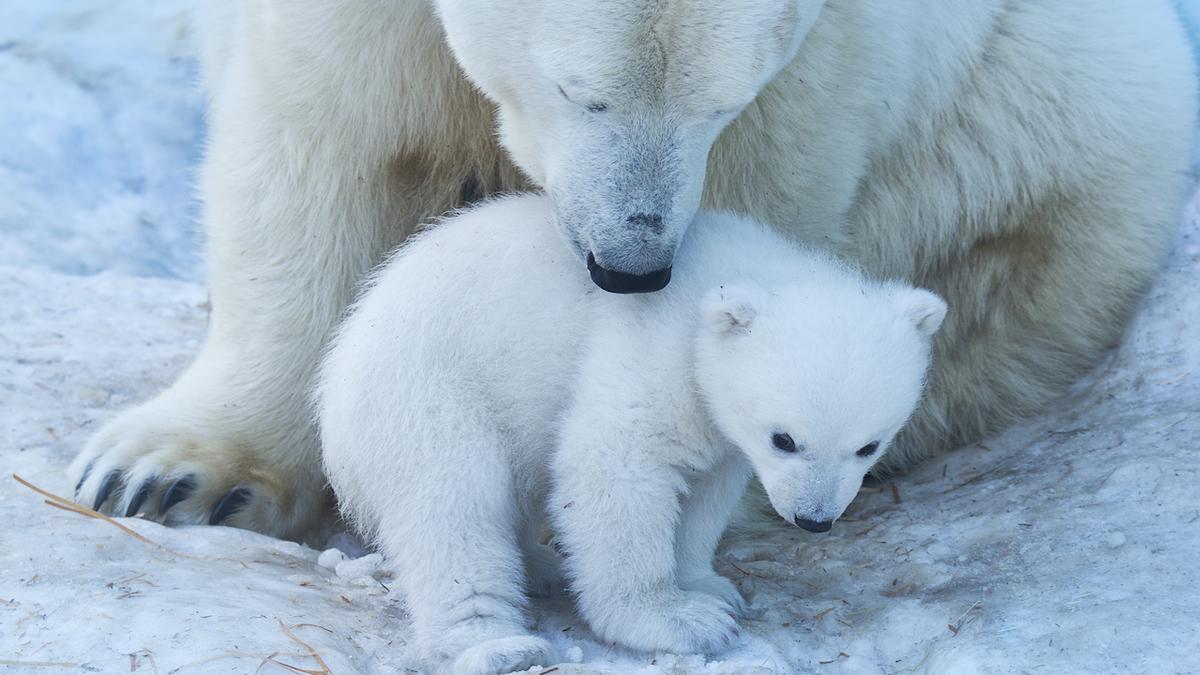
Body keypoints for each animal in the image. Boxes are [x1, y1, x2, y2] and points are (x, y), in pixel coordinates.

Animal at [72, 0, 1190, 535]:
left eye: (720, 99)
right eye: (583, 91)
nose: (631, 262)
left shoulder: (820, 69)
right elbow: (324, 135)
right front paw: (169, 474)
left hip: (1046, 130)